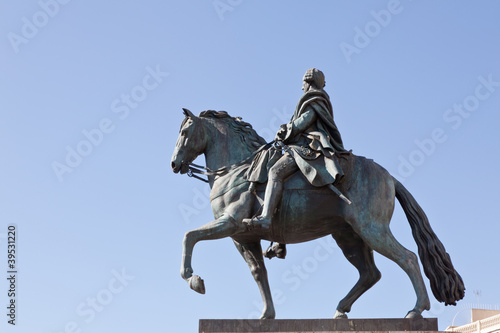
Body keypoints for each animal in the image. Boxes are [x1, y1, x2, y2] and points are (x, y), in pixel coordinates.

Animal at [172, 107, 464, 318]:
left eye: (184, 132)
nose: (174, 163)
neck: (237, 170)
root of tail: (389, 177)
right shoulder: (245, 238)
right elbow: (259, 273)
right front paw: (267, 315)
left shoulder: (231, 224)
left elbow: (189, 236)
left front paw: (193, 279)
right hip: (350, 236)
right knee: (370, 273)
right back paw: (341, 310)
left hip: (372, 229)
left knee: (408, 258)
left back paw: (416, 310)